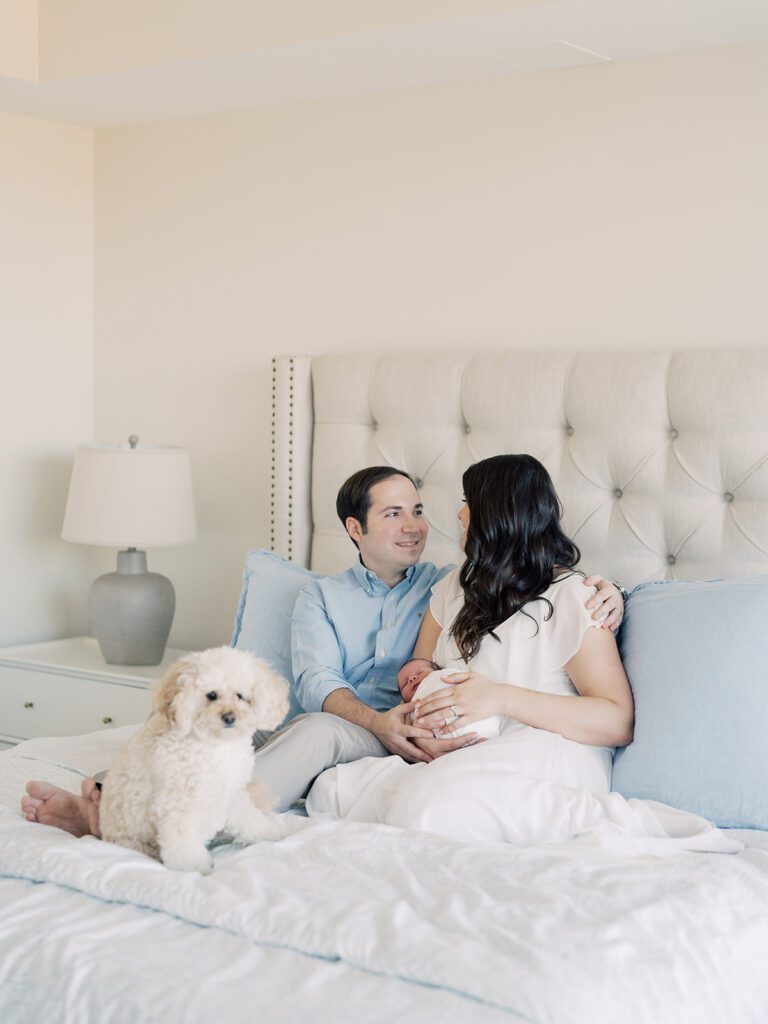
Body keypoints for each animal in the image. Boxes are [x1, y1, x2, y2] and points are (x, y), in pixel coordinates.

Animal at [96, 647, 301, 872]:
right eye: (211, 695)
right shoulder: (176, 808)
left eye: (240, 696)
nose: (230, 717)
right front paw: (199, 870)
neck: (215, 746)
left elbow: (251, 821)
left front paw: (272, 834)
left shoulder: (232, 794)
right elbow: (184, 848)